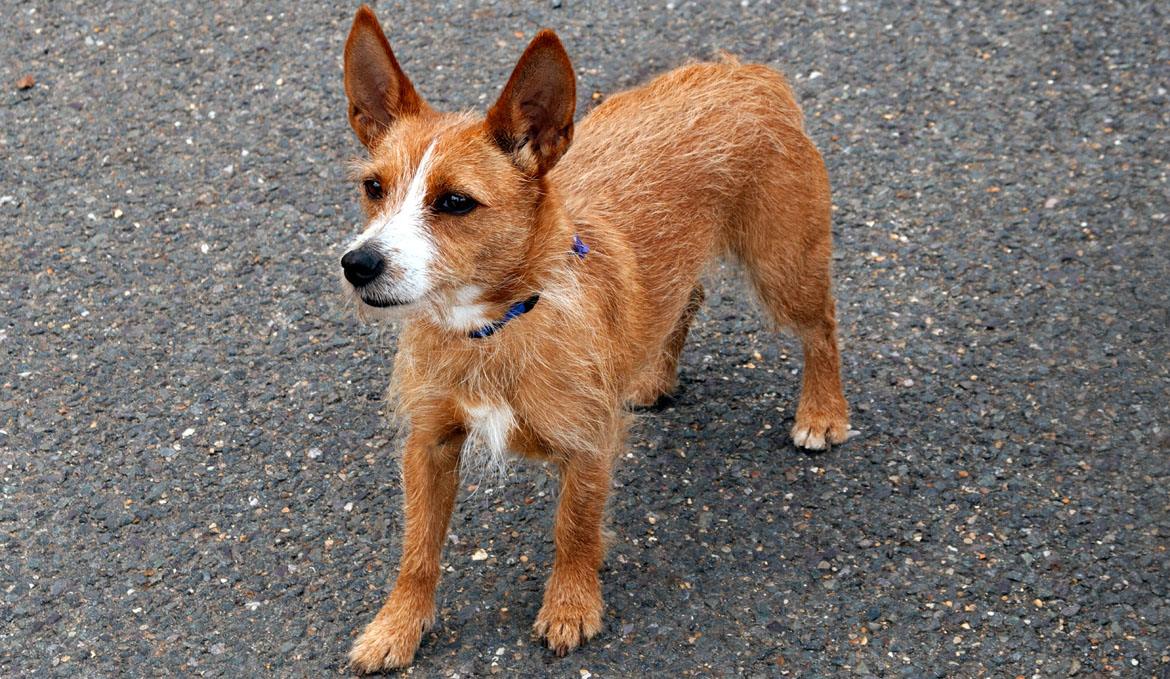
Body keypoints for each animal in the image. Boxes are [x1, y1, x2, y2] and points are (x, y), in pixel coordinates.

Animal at [339, 5, 851, 669]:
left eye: (454, 202)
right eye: (374, 187)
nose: (357, 264)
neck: (493, 327)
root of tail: (746, 73)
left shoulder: (587, 446)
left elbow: (574, 528)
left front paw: (571, 606)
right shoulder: (428, 443)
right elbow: (418, 546)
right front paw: (397, 625)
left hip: (784, 265)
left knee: (823, 326)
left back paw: (823, 410)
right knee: (687, 295)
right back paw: (654, 374)